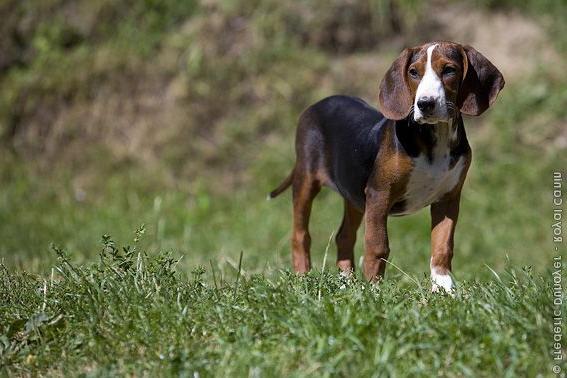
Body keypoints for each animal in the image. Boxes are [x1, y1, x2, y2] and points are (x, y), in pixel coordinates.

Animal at [270, 40, 506, 292]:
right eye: (413, 72)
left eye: (449, 70)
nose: (425, 104)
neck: (435, 137)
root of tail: (316, 104)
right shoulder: (379, 194)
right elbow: (377, 245)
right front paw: (374, 290)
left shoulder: (448, 199)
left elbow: (443, 245)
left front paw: (443, 288)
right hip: (307, 180)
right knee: (300, 234)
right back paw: (302, 279)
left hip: (354, 195)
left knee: (344, 236)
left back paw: (346, 282)